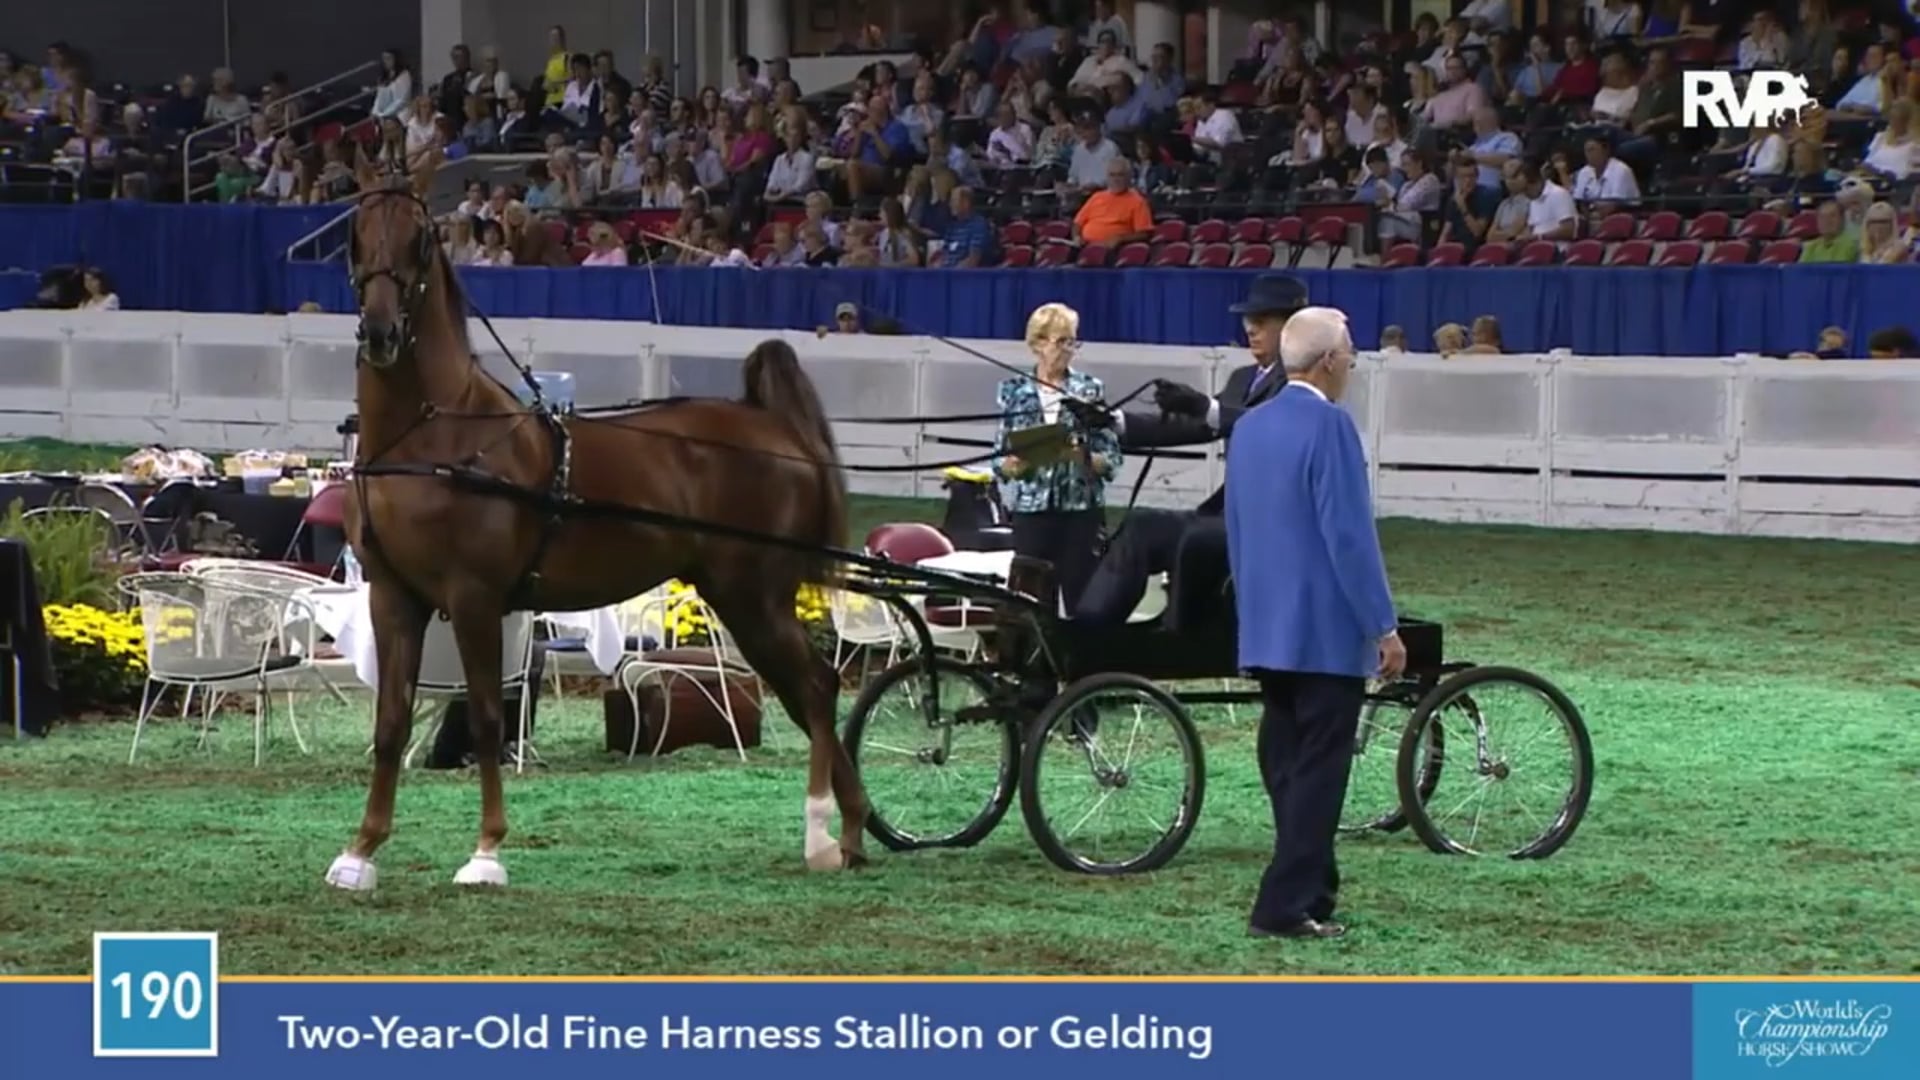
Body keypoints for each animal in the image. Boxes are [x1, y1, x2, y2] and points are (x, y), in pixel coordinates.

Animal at [322, 170, 868, 892]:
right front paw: (360, 852)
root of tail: (771, 423)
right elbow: (390, 723)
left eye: (418, 238)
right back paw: (853, 834)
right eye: (357, 234)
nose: (381, 333)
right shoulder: (394, 597)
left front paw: (486, 853)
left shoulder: (474, 599)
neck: (435, 435)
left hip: (756, 598)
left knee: (816, 689)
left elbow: (489, 719)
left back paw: (820, 836)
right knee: (811, 693)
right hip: (743, 602)